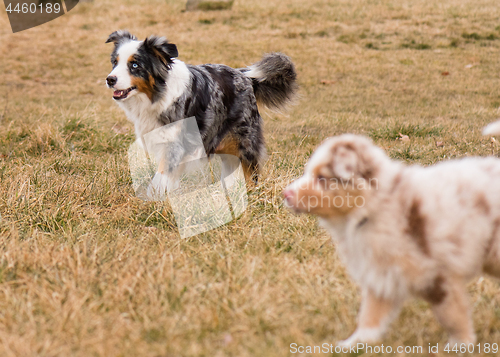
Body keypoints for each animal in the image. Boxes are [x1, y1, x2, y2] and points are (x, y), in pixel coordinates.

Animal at [284, 131, 500, 344]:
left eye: (321, 177)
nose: (285, 193)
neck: (375, 205)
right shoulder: (381, 272)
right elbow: (371, 314)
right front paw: (355, 344)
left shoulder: (437, 273)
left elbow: (452, 314)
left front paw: (461, 344)